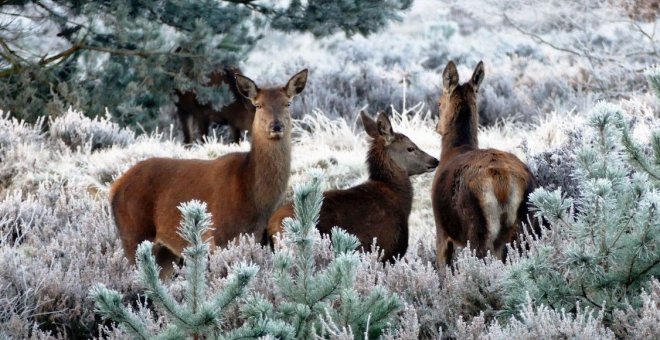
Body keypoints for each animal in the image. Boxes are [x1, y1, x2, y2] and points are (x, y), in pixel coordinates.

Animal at [111, 68, 310, 276]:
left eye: (287, 103)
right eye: (258, 105)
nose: (276, 126)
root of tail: (114, 187)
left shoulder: (259, 238)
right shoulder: (220, 236)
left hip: (165, 251)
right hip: (133, 234)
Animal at [430, 60, 540, 274]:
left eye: (439, 103)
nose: (437, 127)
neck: (453, 150)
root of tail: (503, 182)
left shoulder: (441, 228)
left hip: (478, 227)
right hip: (526, 226)